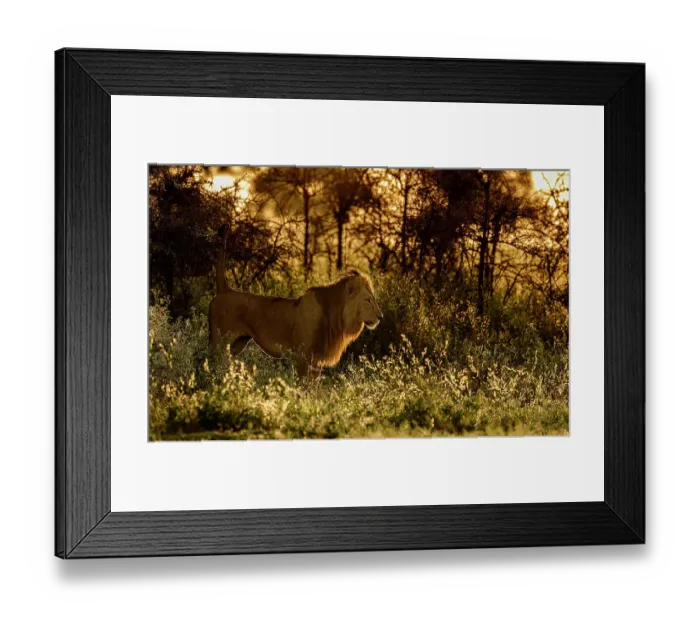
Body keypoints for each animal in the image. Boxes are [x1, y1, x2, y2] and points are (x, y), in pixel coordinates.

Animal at [208, 226, 383, 380]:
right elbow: (303, 386)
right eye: (368, 300)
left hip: (236, 344)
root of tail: (224, 290)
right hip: (218, 342)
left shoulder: (316, 362)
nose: (380, 317)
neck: (336, 317)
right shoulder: (302, 357)